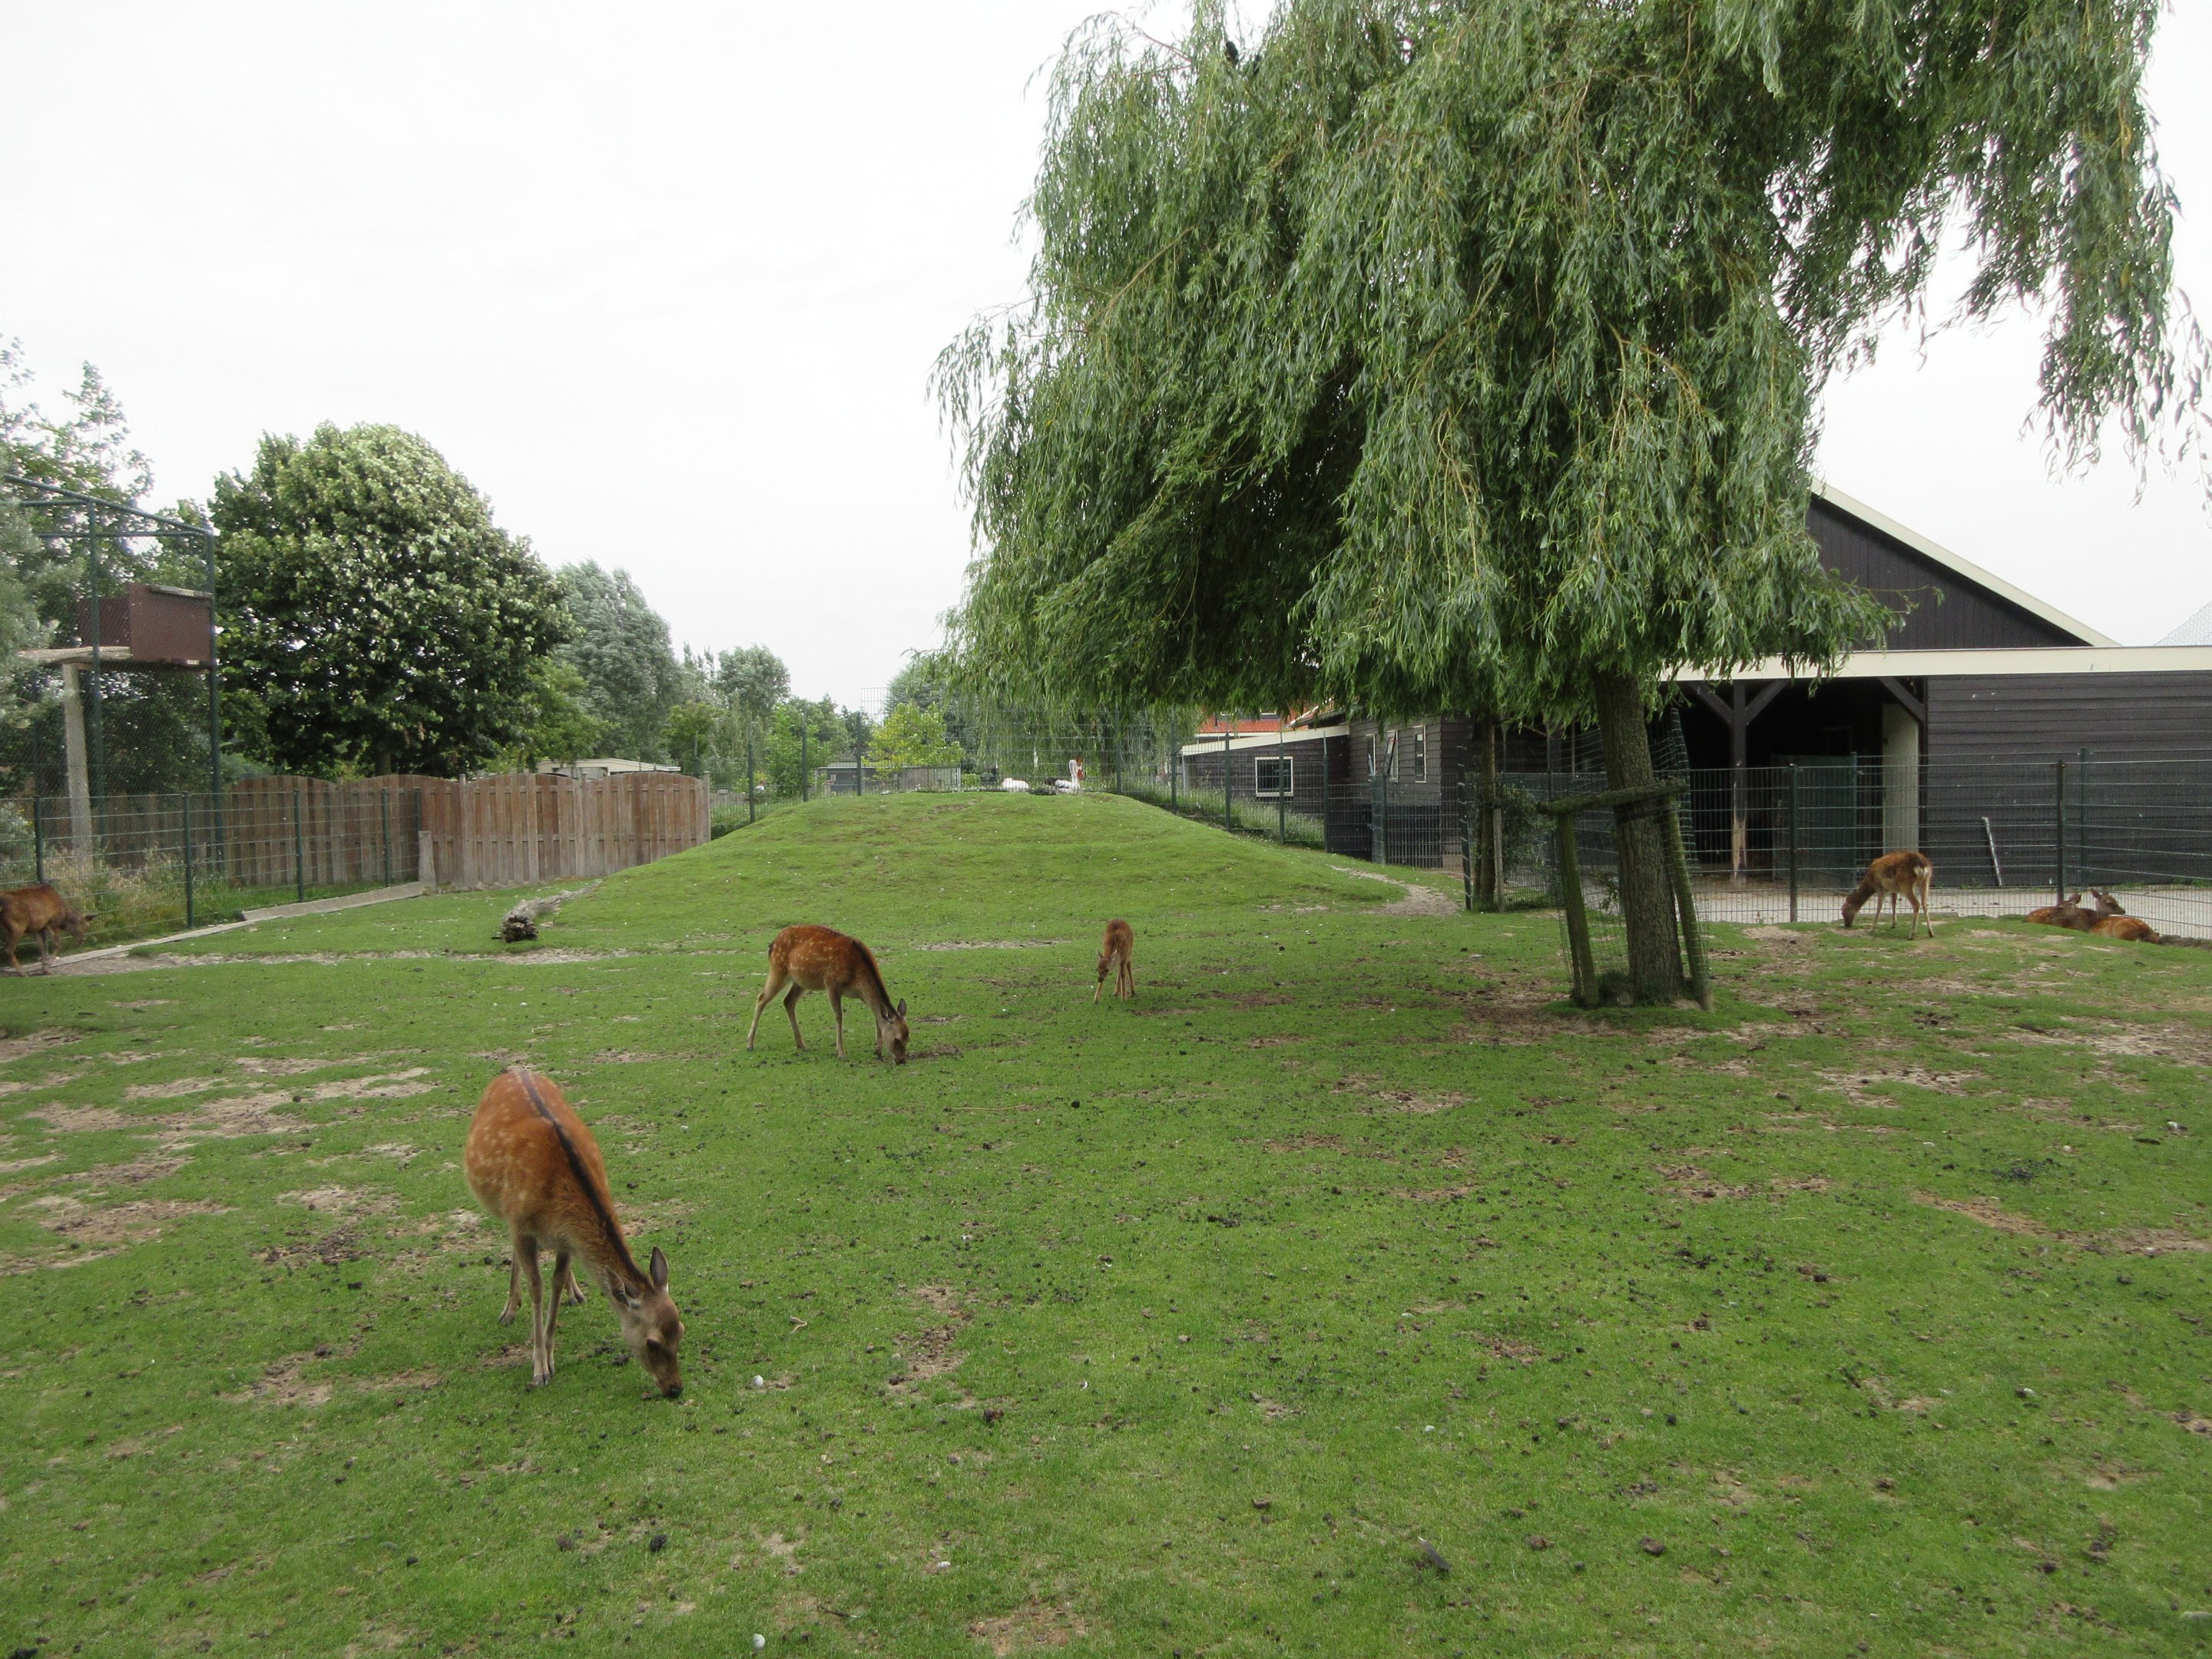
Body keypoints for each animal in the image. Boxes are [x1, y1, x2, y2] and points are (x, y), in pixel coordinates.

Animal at [462, 1066, 684, 1396]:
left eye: (681, 1330)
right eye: (653, 1342)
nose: (675, 1387)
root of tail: (514, 1070)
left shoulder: (567, 1237)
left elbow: (555, 1282)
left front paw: (551, 1354)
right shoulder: (521, 1224)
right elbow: (538, 1287)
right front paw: (540, 1368)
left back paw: (575, 1293)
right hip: (503, 1208)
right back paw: (509, 1310)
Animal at [744, 924, 909, 1063]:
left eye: (908, 1037)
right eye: (897, 1040)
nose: (902, 1061)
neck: (857, 976)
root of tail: (772, 945)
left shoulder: (863, 994)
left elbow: (876, 1015)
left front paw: (878, 1050)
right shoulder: (831, 984)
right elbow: (839, 1016)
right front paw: (841, 1052)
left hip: (801, 980)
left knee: (788, 1001)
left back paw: (801, 1044)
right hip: (778, 969)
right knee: (761, 998)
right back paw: (750, 1044)